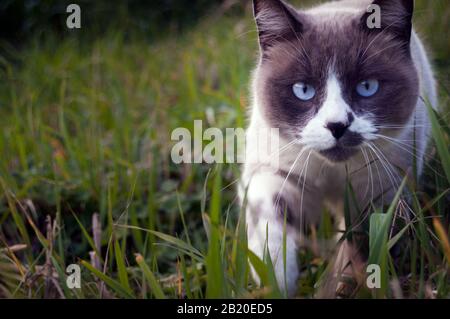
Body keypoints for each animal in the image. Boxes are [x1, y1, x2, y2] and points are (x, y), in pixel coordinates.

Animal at [241, 0, 438, 298]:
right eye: (303, 90)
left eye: (367, 87)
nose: (337, 125)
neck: (332, 172)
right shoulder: (279, 170)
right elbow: (268, 216)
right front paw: (275, 279)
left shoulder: (378, 196)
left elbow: (358, 249)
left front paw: (337, 287)